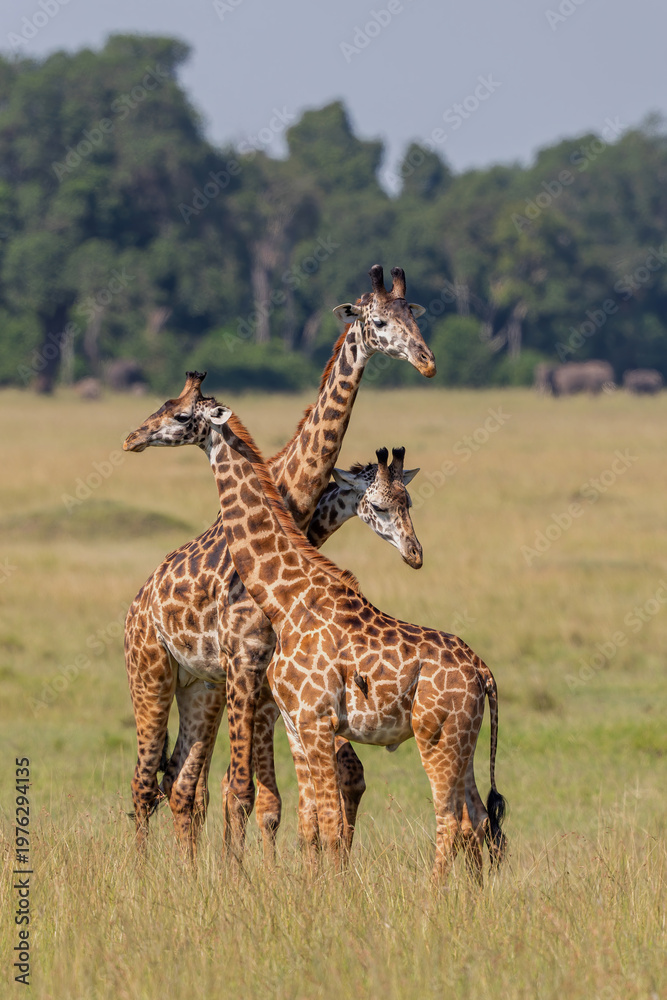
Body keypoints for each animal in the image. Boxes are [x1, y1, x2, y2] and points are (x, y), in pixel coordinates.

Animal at [122, 265, 435, 859]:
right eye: (379, 322)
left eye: (414, 316)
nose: (427, 362)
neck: (295, 497)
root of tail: (138, 602)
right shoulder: (250, 666)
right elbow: (247, 790)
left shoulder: (271, 675)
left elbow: (321, 782)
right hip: (150, 671)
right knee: (146, 782)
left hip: (200, 685)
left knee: (181, 783)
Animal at [157, 392, 507, 881]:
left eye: (182, 414)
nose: (138, 436)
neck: (286, 598)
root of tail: (484, 672)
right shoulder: (298, 723)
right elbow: (313, 822)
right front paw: (315, 887)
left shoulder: (317, 720)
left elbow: (329, 821)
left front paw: (332, 890)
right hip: (466, 741)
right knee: (477, 818)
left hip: (437, 737)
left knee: (452, 819)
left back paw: (434, 896)